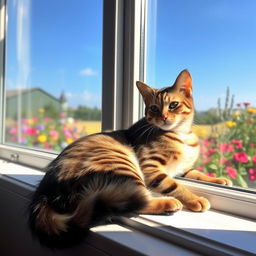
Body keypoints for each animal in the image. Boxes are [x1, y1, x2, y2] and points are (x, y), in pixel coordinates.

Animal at [28, 69, 232, 247]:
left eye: (173, 105)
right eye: (154, 108)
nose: (163, 117)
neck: (181, 135)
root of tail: (44, 195)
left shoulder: (183, 168)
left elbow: (196, 173)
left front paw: (218, 180)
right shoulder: (151, 166)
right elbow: (174, 185)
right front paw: (195, 199)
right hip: (122, 163)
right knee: (136, 202)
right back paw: (168, 203)